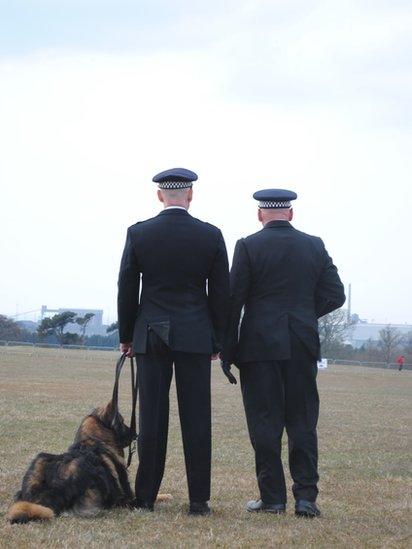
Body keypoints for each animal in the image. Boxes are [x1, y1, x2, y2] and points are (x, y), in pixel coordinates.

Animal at [6, 398, 168, 524]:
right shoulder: (127, 494)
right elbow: (150, 495)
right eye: (122, 422)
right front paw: (165, 496)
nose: (135, 434)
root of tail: (52, 491)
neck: (91, 440)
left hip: (40, 458)